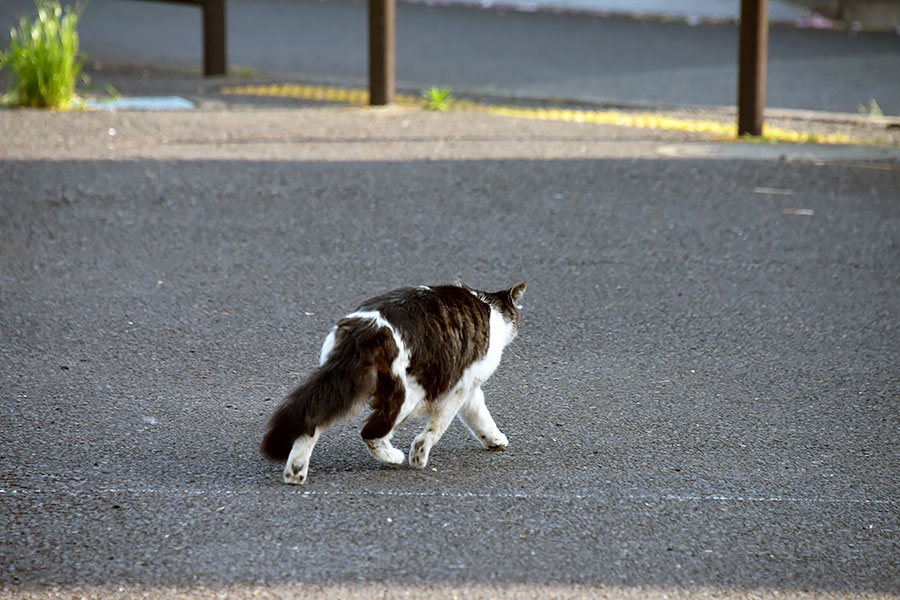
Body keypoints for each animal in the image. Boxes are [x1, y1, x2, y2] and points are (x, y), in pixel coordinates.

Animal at [258, 282, 528, 482]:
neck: (489, 305)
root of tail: (368, 327)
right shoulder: (459, 386)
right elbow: (437, 426)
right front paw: (419, 453)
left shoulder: (467, 387)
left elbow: (479, 417)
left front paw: (494, 439)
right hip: (408, 394)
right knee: (371, 431)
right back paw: (393, 457)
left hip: (342, 385)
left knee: (311, 423)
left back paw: (295, 471)